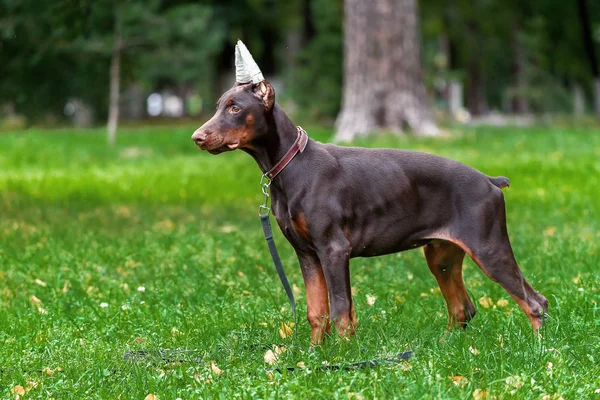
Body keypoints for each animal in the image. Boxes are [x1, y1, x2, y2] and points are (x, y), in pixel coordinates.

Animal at [192, 80, 548, 344]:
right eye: (218, 105)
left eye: (236, 107)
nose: (197, 137)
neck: (292, 165)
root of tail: (490, 180)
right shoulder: (307, 253)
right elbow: (316, 310)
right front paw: (313, 356)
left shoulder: (333, 249)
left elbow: (340, 309)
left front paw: (340, 356)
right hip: (441, 255)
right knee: (463, 308)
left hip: (488, 247)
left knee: (534, 302)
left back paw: (537, 351)